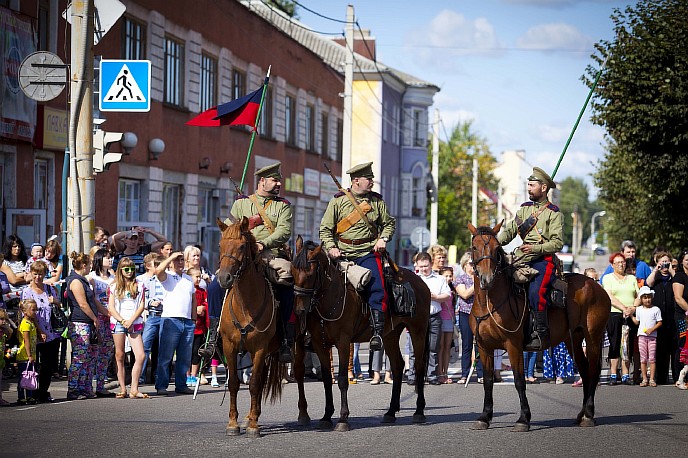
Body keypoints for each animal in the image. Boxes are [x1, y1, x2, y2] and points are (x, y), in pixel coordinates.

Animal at [218, 216, 288, 438]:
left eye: (242, 246)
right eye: (220, 245)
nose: (224, 278)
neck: (245, 304)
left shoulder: (259, 348)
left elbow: (255, 384)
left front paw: (253, 427)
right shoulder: (230, 347)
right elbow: (233, 383)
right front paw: (233, 423)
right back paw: (251, 415)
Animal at [290, 236, 430, 430]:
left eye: (310, 274)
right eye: (292, 271)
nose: (299, 310)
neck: (330, 297)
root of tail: (421, 282)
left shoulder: (342, 343)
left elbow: (342, 379)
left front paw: (343, 419)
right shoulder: (320, 344)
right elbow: (327, 379)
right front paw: (326, 416)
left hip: (418, 331)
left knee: (419, 366)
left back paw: (419, 411)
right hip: (390, 335)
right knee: (398, 365)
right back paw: (390, 412)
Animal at [468, 221, 612, 430]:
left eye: (496, 249)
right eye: (474, 247)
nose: (487, 279)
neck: (489, 301)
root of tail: (596, 285)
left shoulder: (513, 346)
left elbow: (519, 381)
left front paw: (523, 418)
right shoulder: (484, 347)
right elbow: (488, 381)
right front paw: (484, 417)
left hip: (593, 337)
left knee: (593, 371)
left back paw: (589, 415)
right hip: (573, 340)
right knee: (585, 371)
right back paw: (582, 414)